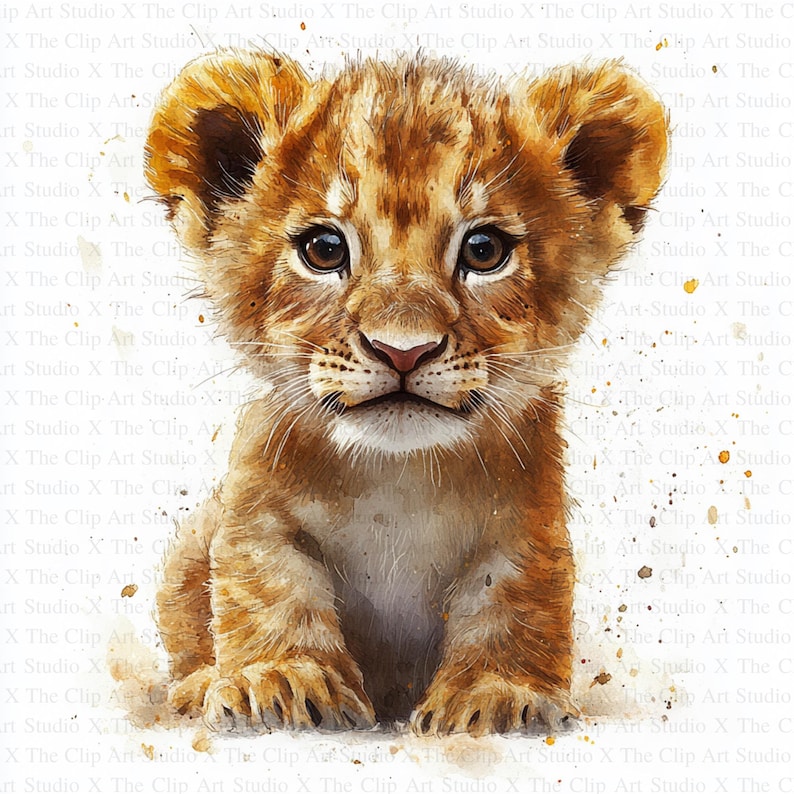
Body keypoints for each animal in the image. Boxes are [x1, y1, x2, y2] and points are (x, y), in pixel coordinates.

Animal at [144, 50, 668, 735]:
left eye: (484, 250)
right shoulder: (255, 512)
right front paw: (280, 678)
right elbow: (267, 586)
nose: (403, 351)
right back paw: (196, 685)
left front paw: (498, 695)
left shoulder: (527, 527)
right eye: (323, 249)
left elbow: (514, 604)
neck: (397, 478)